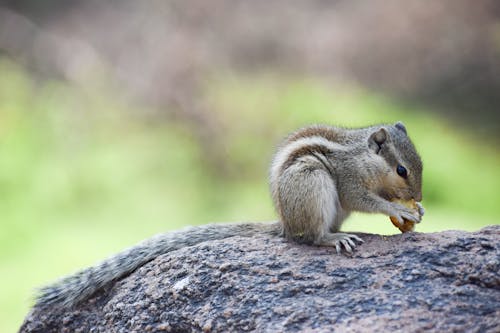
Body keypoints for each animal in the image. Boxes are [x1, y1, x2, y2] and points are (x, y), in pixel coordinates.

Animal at [34, 120, 422, 308]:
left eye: (418, 164)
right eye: (402, 170)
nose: (418, 196)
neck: (364, 157)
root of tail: (284, 224)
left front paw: (414, 210)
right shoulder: (349, 181)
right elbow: (366, 200)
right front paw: (396, 207)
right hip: (312, 185)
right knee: (309, 238)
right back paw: (333, 237)